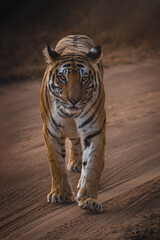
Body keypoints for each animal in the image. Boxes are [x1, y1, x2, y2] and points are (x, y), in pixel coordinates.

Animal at [40, 34, 105, 212]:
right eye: (63, 78)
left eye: (84, 78)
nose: (74, 100)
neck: (71, 114)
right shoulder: (51, 132)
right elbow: (56, 164)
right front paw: (60, 194)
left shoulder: (94, 131)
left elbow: (93, 164)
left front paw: (89, 199)